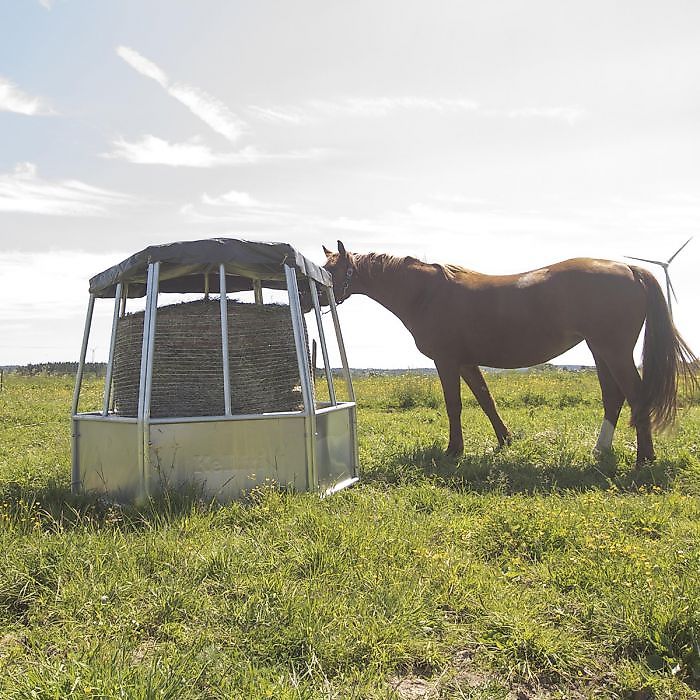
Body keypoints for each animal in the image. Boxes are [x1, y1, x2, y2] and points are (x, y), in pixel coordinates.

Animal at [314, 241, 696, 464]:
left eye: (330, 270)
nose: (306, 299)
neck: (426, 293)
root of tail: (630, 268)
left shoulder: (447, 361)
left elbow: (455, 405)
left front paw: (454, 450)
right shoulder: (467, 362)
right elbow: (486, 400)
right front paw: (505, 441)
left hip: (613, 351)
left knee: (636, 395)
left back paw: (644, 458)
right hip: (601, 351)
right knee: (614, 398)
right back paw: (600, 450)